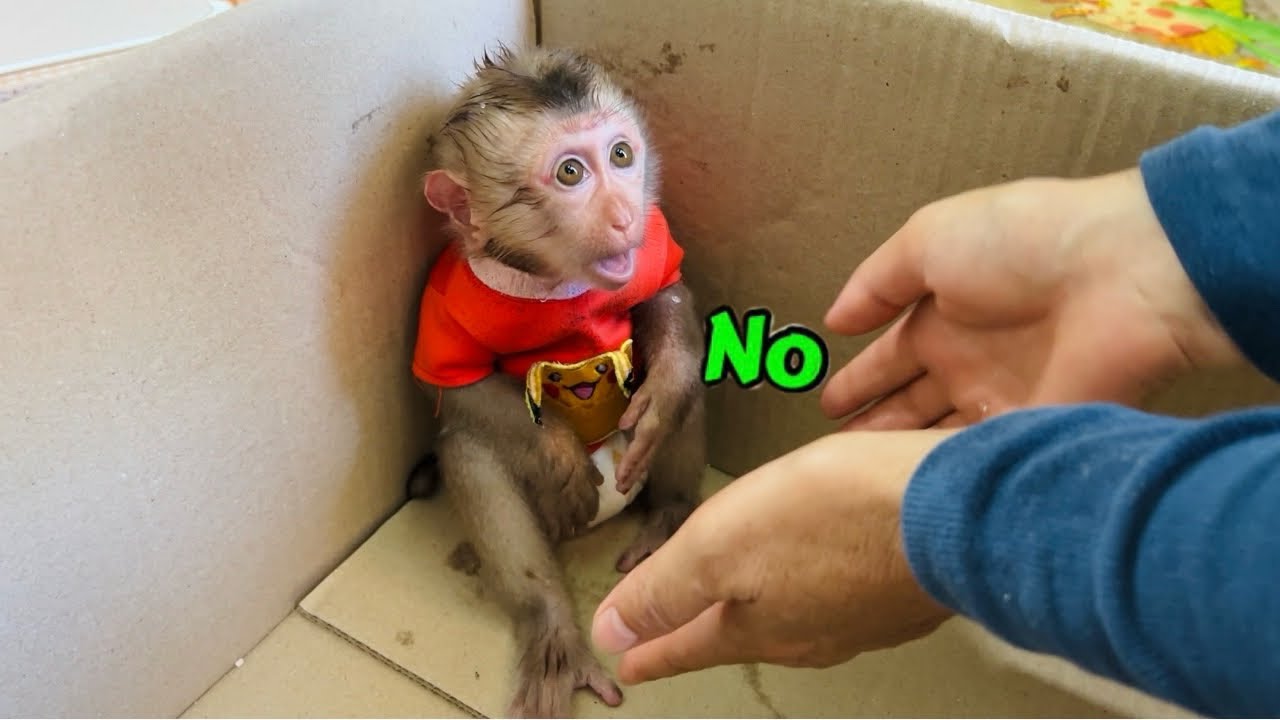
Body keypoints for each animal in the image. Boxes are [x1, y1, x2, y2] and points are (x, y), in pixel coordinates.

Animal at [406, 45, 707, 718]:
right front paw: (559, 452)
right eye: (571, 172)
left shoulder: (653, 242)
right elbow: (456, 391)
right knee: (469, 454)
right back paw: (549, 626)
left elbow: (666, 295)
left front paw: (665, 390)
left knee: (685, 399)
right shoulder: (443, 298)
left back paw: (668, 519)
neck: (552, 281)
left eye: (621, 155)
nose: (625, 215)